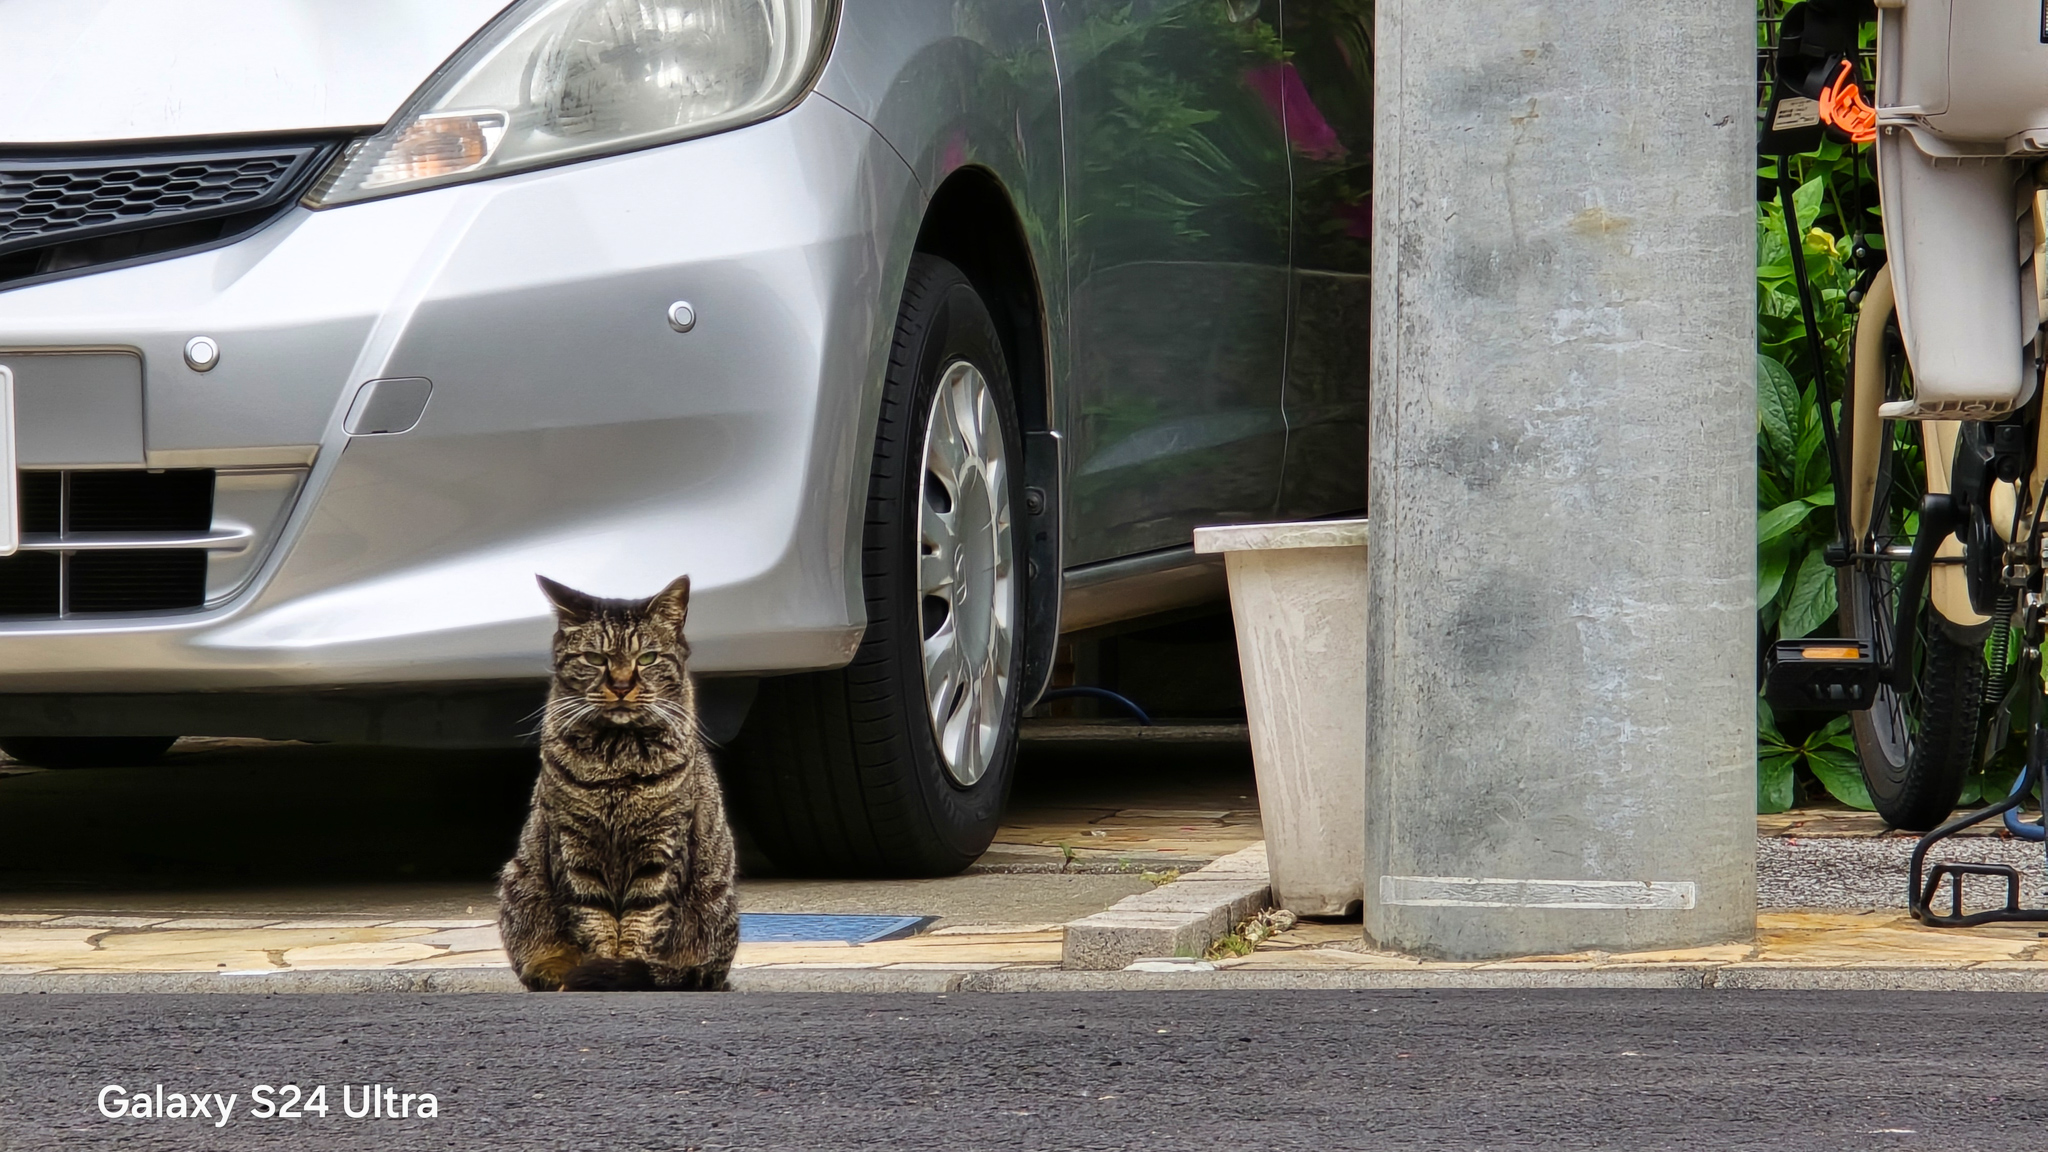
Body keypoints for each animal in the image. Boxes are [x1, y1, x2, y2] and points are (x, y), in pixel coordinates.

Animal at [499, 573, 741, 988]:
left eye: (647, 658)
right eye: (595, 659)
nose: (623, 685)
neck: (617, 758)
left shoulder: (662, 848)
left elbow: (641, 923)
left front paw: (621, 970)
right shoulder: (574, 848)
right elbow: (593, 920)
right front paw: (599, 968)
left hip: (715, 899)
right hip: (518, 878)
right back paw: (551, 972)